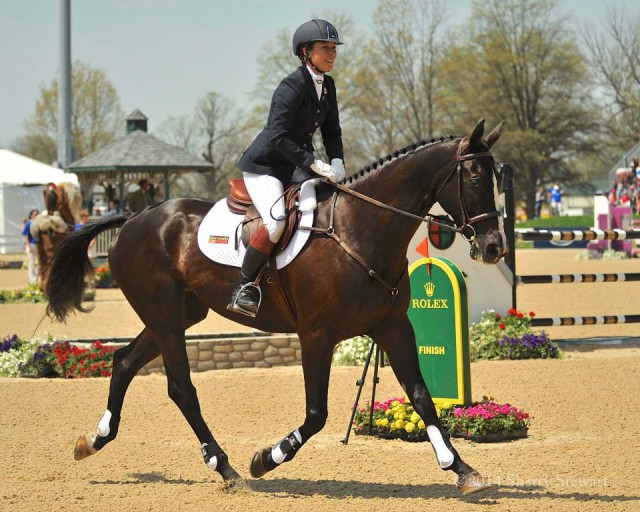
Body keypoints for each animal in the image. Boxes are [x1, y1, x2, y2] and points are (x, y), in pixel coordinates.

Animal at [45, 120, 508, 496]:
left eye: (498, 178)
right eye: (474, 177)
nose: (494, 248)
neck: (360, 231)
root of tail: (134, 218)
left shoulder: (393, 327)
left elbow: (422, 397)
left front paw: (463, 470)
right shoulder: (317, 335)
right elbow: (317, 414)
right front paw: (266, 459)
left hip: (178, 315)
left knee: (124, 362)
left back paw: (94, 440)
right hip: (165, 316)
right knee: (181, 388)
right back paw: (226, 467)